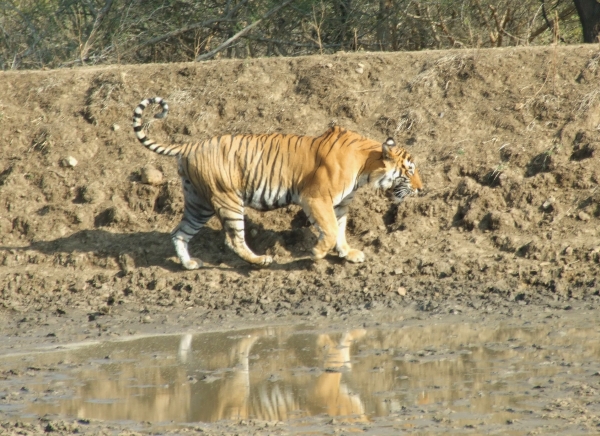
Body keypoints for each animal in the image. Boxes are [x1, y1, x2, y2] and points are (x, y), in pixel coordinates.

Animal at [132, 97, 422, 270]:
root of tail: (190, 145)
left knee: (179, 232)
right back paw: (260, 260)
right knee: (233, 239)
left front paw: (348, 253)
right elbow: (329, 230)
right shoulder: (316, 198)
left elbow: (339, 231)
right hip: (227, 199)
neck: (366, 167)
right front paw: (316, 253)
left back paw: (189, 264)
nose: (421, 189)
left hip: (198, 203)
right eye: (409, 171)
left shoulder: (339, 205)